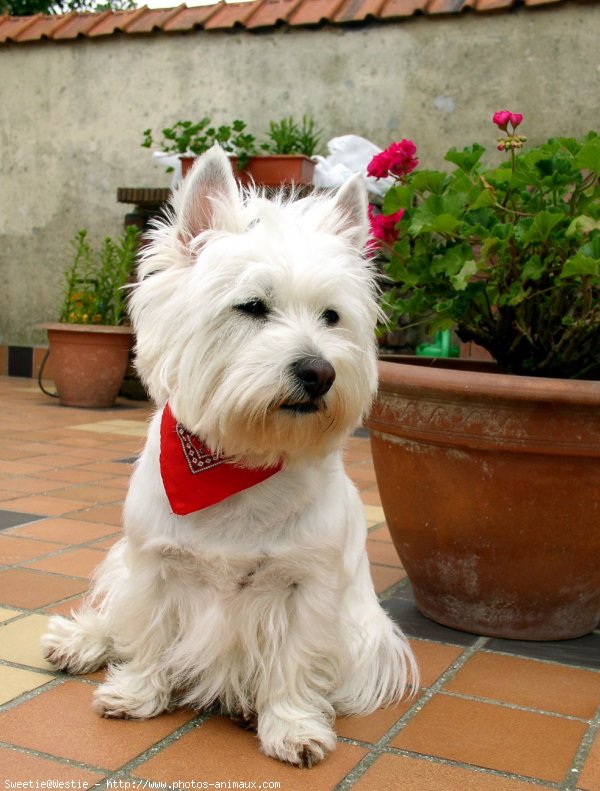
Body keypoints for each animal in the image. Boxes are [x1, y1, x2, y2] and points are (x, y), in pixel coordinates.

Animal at [41, 147, 418, 768]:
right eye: (252, 306)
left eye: (332, 316)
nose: (319, 373)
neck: (240, 463)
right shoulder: (154, 562)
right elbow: (147, 631)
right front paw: (135, 694)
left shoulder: (308, 586)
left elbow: (296, 659)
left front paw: (291, 726)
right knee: (114, 616)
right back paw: (77, 643)